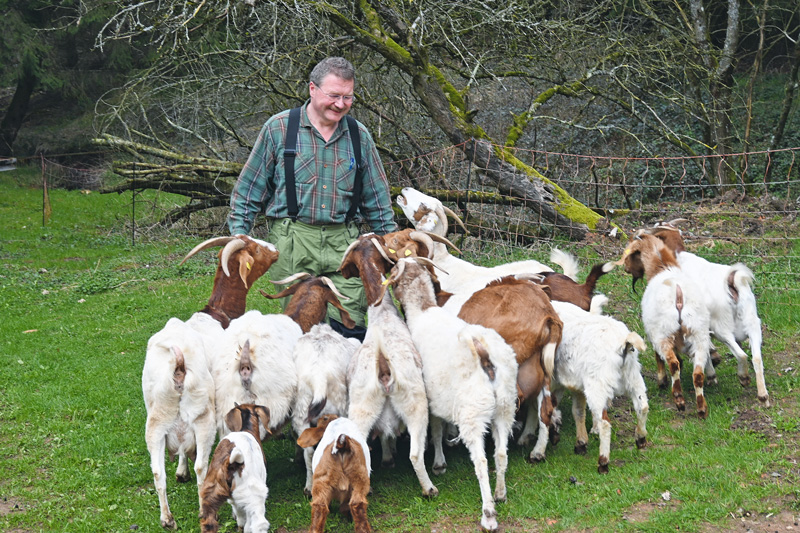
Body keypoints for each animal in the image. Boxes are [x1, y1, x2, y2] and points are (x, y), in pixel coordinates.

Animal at [141, 316, 214, 528]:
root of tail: (178, 366)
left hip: (156, 426)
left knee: (158, 472)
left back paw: (167, 519)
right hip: (204, 420)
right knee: (201, 467)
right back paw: (203, 512)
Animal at [386, 256, 520, 528]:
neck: (423, 310)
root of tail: (482, 353)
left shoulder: (433, 401)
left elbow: (436, 431)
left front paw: (438, 464)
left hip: (472, 413)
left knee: (481, 461)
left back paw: (488, 514)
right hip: (505, 406)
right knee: (501, 453)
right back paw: (500, 494)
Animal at [532, 302, 648, 472]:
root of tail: (624, 342)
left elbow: (544, 414)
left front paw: (538, 452)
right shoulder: (574, 384)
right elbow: (577, 411)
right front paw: (580, 443)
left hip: (597, 384)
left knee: (605, 423)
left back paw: (603, 462)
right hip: (632, 376)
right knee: (642, 406)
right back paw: (640, 439)